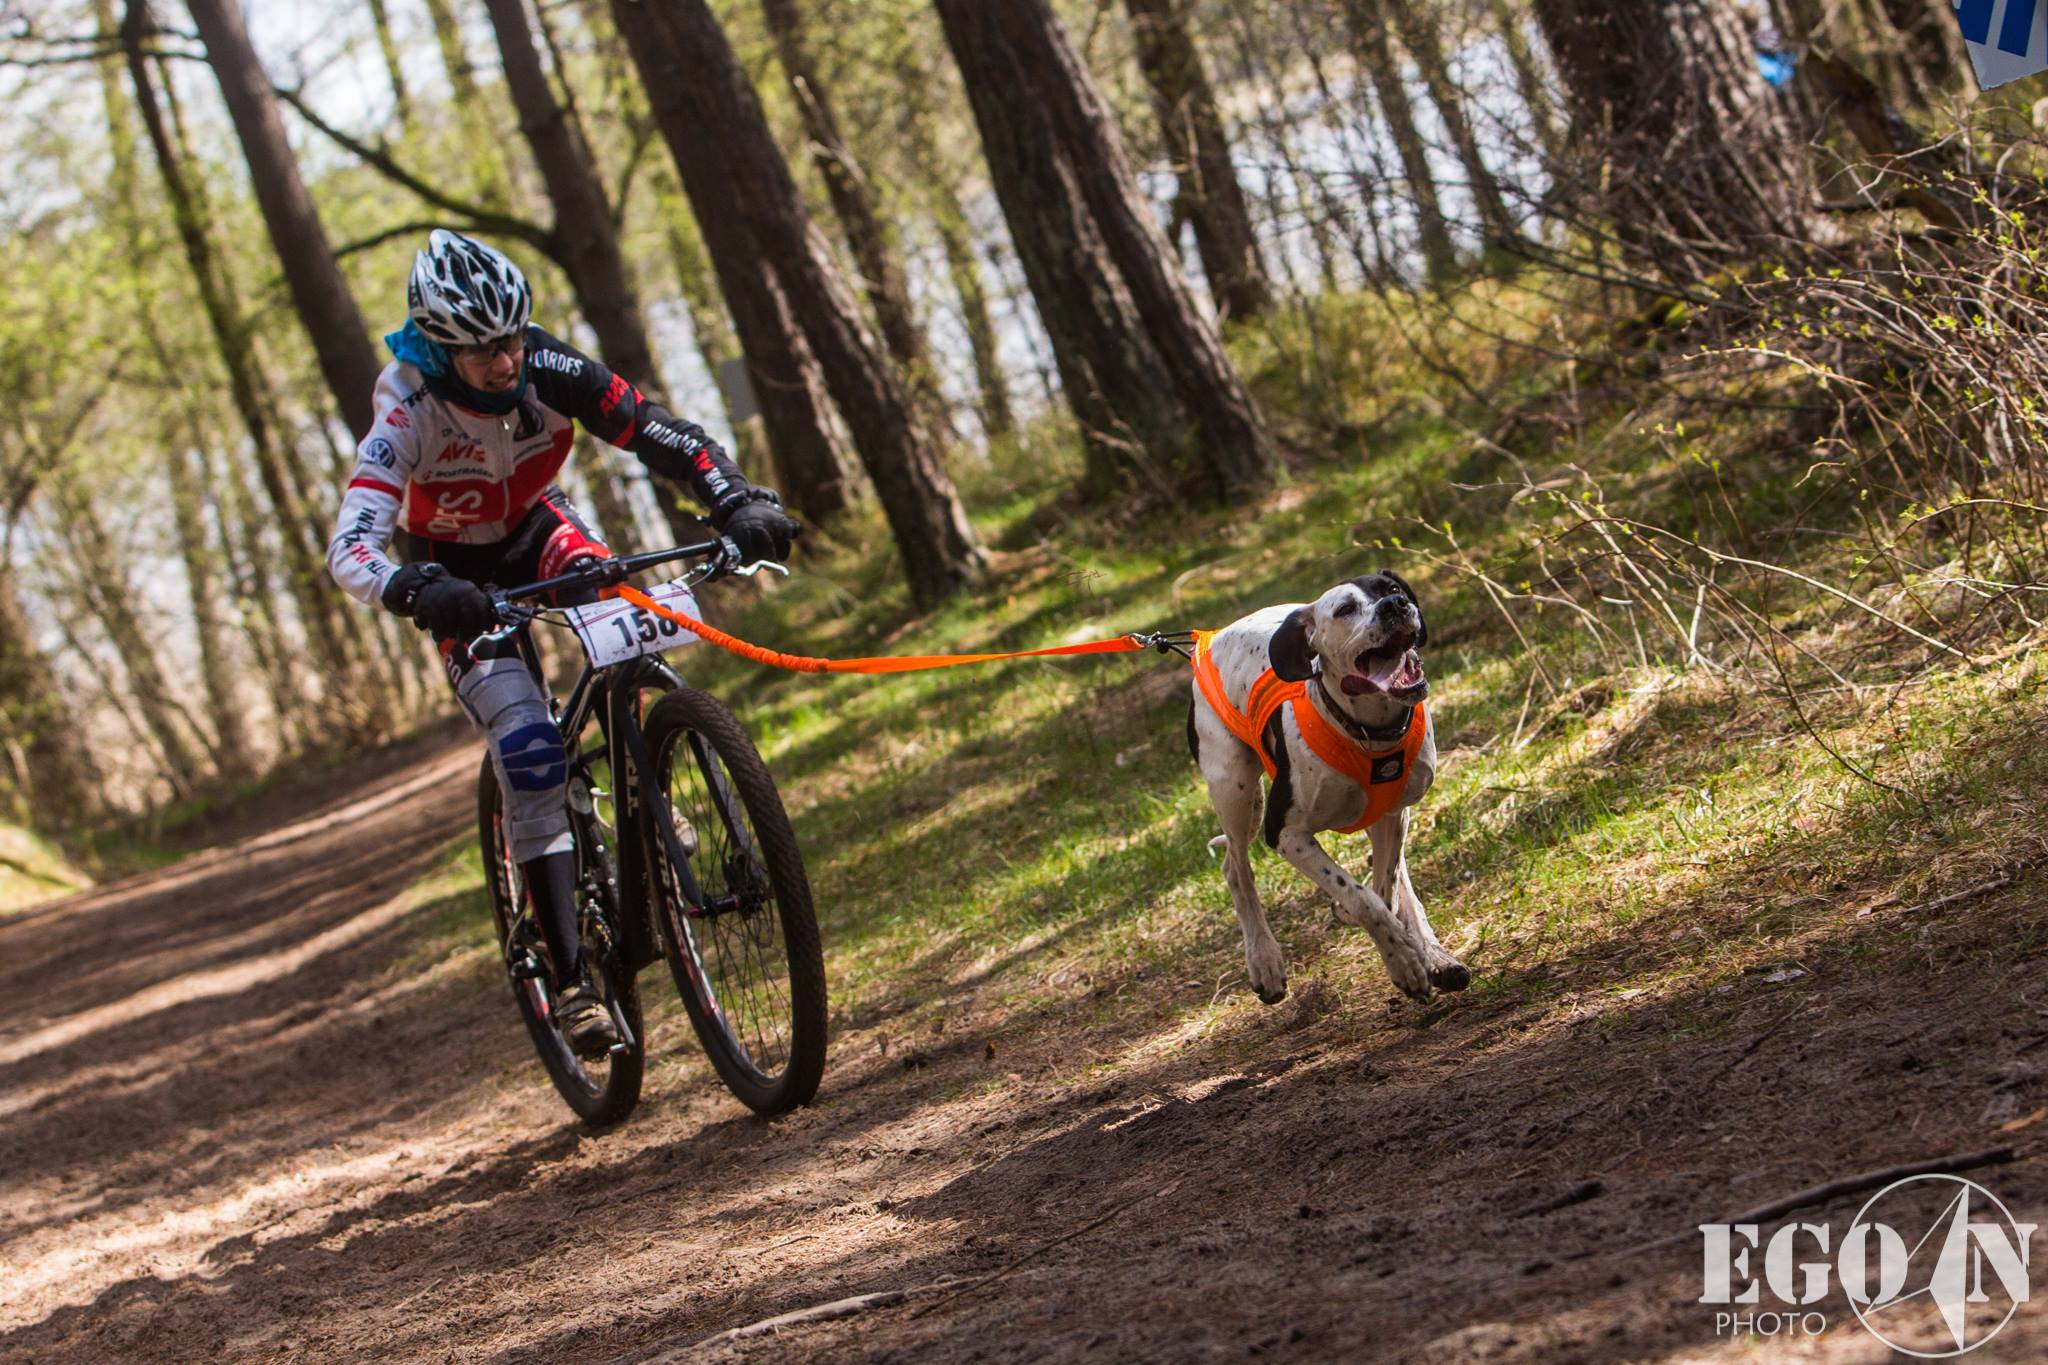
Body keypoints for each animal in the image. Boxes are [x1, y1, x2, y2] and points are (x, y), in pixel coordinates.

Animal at [1187, 573, 1474, 1010]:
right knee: (1236, 868)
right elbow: (1363, 897)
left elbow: (1384, 890)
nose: (1395, 606)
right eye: (1345, 609)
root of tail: (1214, 635)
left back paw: (1435, 954)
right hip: (1236, 791)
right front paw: (1404, 963)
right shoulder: (1286, 834)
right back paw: (1264, 961)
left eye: (1394, 590)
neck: (1365, 733)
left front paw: (1412, 951)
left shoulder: (1391, 815)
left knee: (1399, 880)